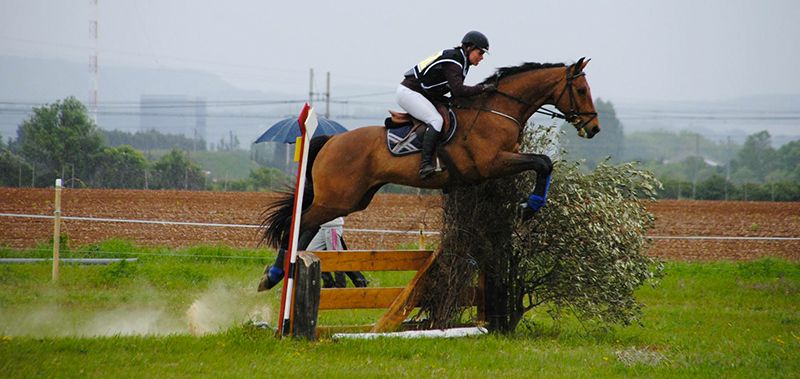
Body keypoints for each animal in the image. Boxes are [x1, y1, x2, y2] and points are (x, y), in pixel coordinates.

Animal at [262, 57, 600, 249]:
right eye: (581, 90)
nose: (594, 128)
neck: (497, 110)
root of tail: (331, 140)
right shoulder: (492, 162)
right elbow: (543, 163)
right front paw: (530, 207)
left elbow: (542, 164)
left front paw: (527, 206)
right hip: (337, 198)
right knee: (301, 223)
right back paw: (276, 275)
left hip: (352, 199)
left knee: (307, 226)